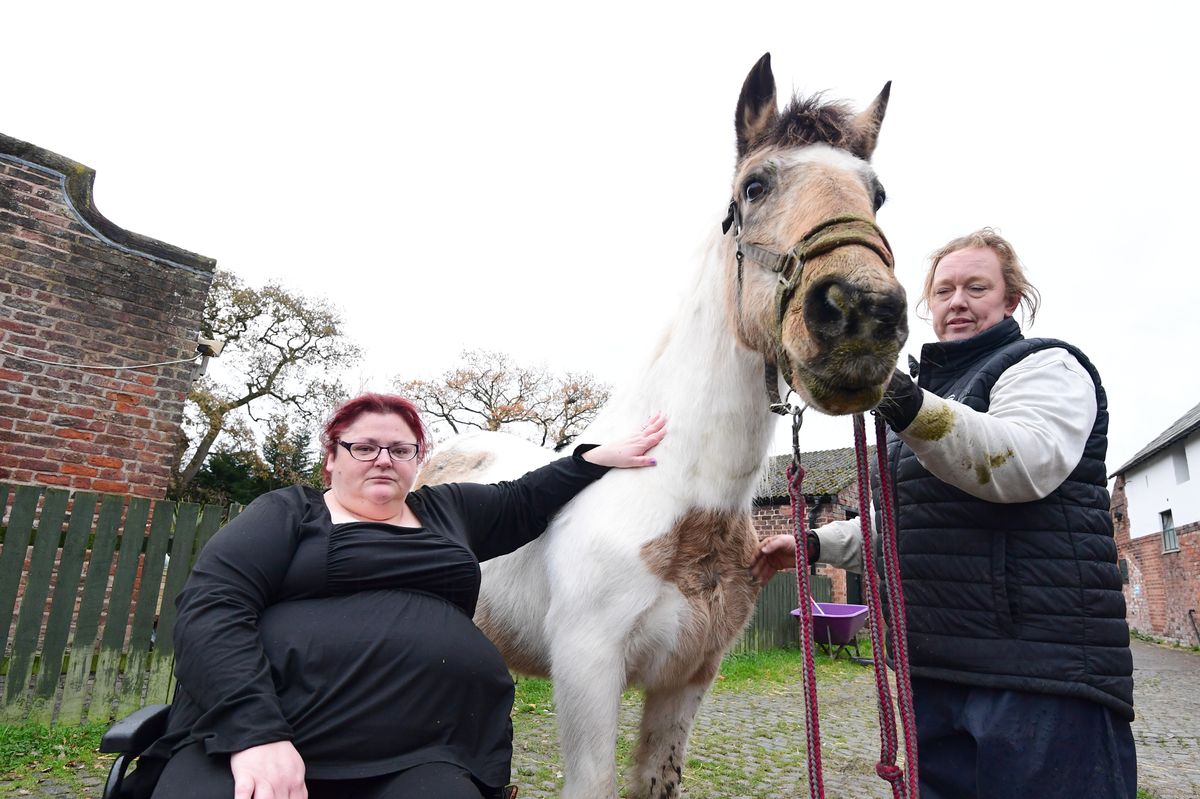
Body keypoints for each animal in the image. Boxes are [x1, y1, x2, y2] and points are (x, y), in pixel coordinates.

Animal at [418, 53, 907, 799]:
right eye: (754, 186)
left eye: (875, 195)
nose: (862, 313)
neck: (671, 496)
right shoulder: (587, 675)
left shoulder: (687, 679)